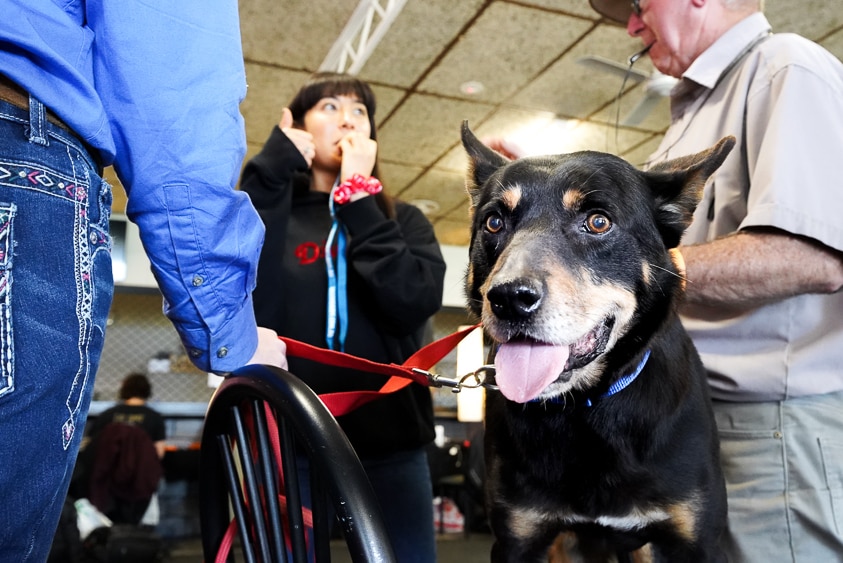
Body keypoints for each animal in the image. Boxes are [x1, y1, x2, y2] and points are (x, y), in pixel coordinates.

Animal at [464, 121, 736, 560]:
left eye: (597, 222)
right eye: (493, 223)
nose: (508, 299)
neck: (587, 406)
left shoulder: (698, 542)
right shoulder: (518, 539)